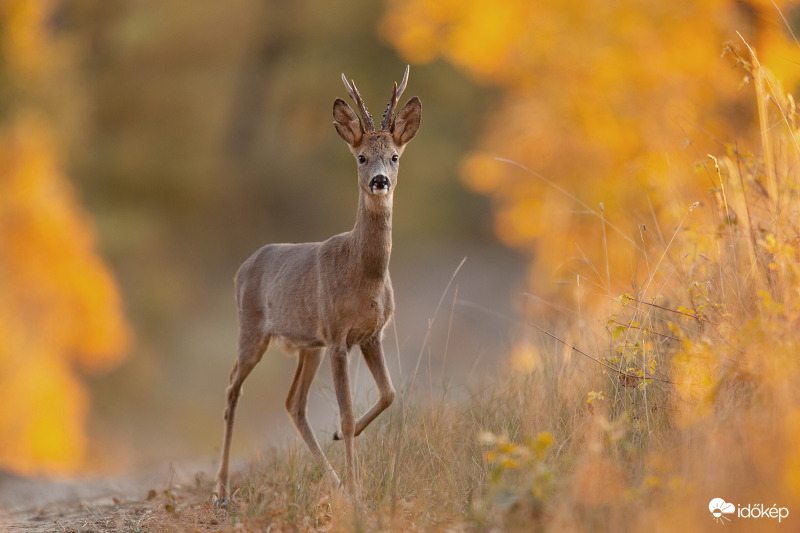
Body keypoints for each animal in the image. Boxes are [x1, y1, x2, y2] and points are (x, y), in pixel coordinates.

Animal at [216, 64, 422, 500]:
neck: (364, 275)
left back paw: (334, 480)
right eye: (361, 157)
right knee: (232, 389)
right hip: (252, 330)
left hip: (308, 346)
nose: (380, 180)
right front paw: (357, 488)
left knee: (293, 403)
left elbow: (389, 393)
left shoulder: (371, 334)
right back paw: (221, 488)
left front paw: (345, 447)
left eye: (394, 156)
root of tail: (242, 266)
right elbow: (345, 413)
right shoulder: (338, 336)